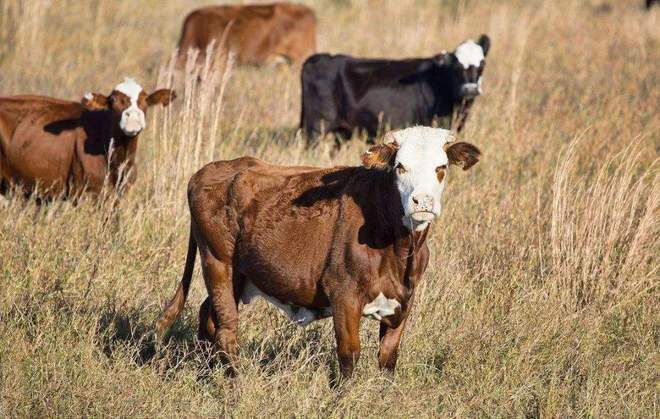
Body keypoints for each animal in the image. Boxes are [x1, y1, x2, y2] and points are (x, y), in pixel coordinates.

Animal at [157, 126, 482, 378]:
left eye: (441, 168)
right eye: (400, 166)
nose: (422, 201)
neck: (399, 249)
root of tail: (213, 168)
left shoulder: (403, 301)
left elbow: (388, 359)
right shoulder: (344, 296)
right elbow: (349, 356)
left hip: (238, 272)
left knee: (208, 316)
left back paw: (207, 372)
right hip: (217, 261)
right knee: (226, 329)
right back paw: (234, 386)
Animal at [300, 34, 490, 143]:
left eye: (482, 65)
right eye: (457, 66)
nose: (471, 89)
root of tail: (320, 58)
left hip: (342, 131)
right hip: (316, 127)